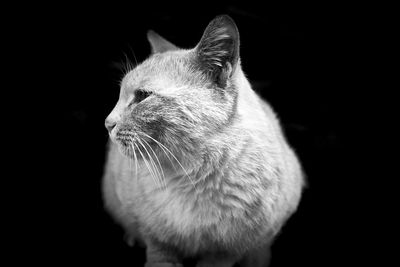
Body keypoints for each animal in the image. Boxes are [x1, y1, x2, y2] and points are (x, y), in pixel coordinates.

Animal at [102, 15, 304, 267]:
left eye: (142, 96)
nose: (107, 123)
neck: (191, 177)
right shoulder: (157, 243)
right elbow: (157, 251)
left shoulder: (227, 252)